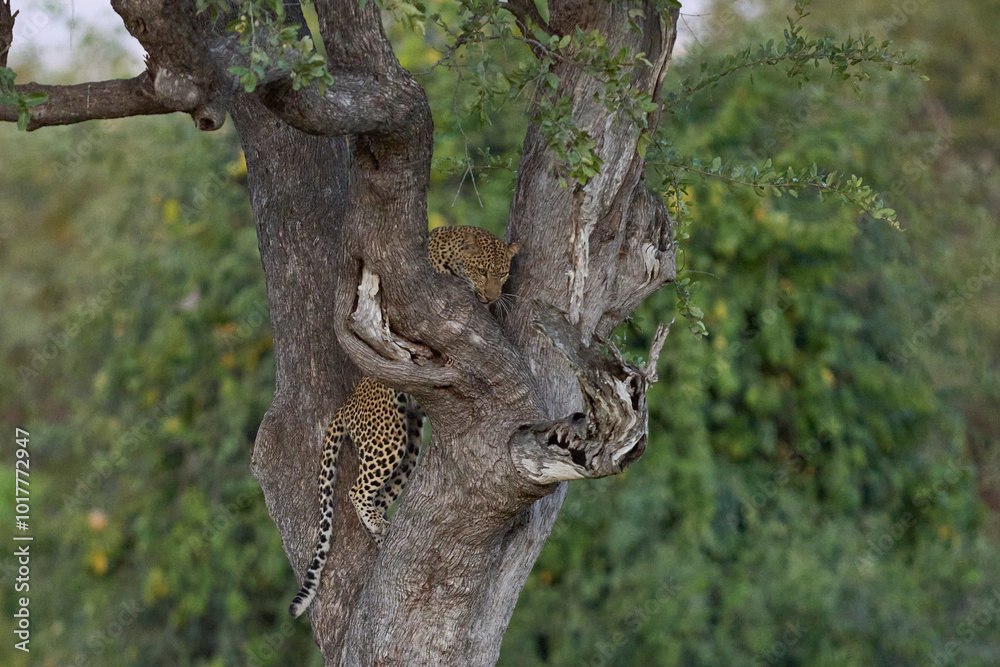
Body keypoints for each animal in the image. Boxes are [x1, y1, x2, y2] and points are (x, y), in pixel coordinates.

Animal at [289, 225, 520, 618]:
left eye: (503, 273)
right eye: (483, 271)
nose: (491, 298)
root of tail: (349, 403)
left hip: (410, 444)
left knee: (380, 495)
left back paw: (383, 531)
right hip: (388, 436)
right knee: (356, 491)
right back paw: (378, 525)